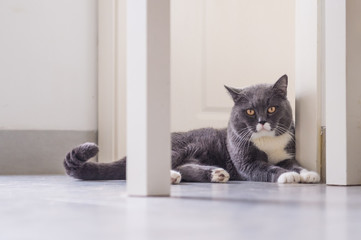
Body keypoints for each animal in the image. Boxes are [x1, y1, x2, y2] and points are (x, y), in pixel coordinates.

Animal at [64, 75, 318, 184]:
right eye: (250, 112)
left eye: (272, 108)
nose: (263, 121)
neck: (266, 142)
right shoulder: (247, 162)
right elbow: (267, 168)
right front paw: (287, 176)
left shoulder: (286, 154)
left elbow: (294, 164)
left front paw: (308, 174)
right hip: (182, 146)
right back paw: (170, 176)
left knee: (185, 167)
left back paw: (215, 174)